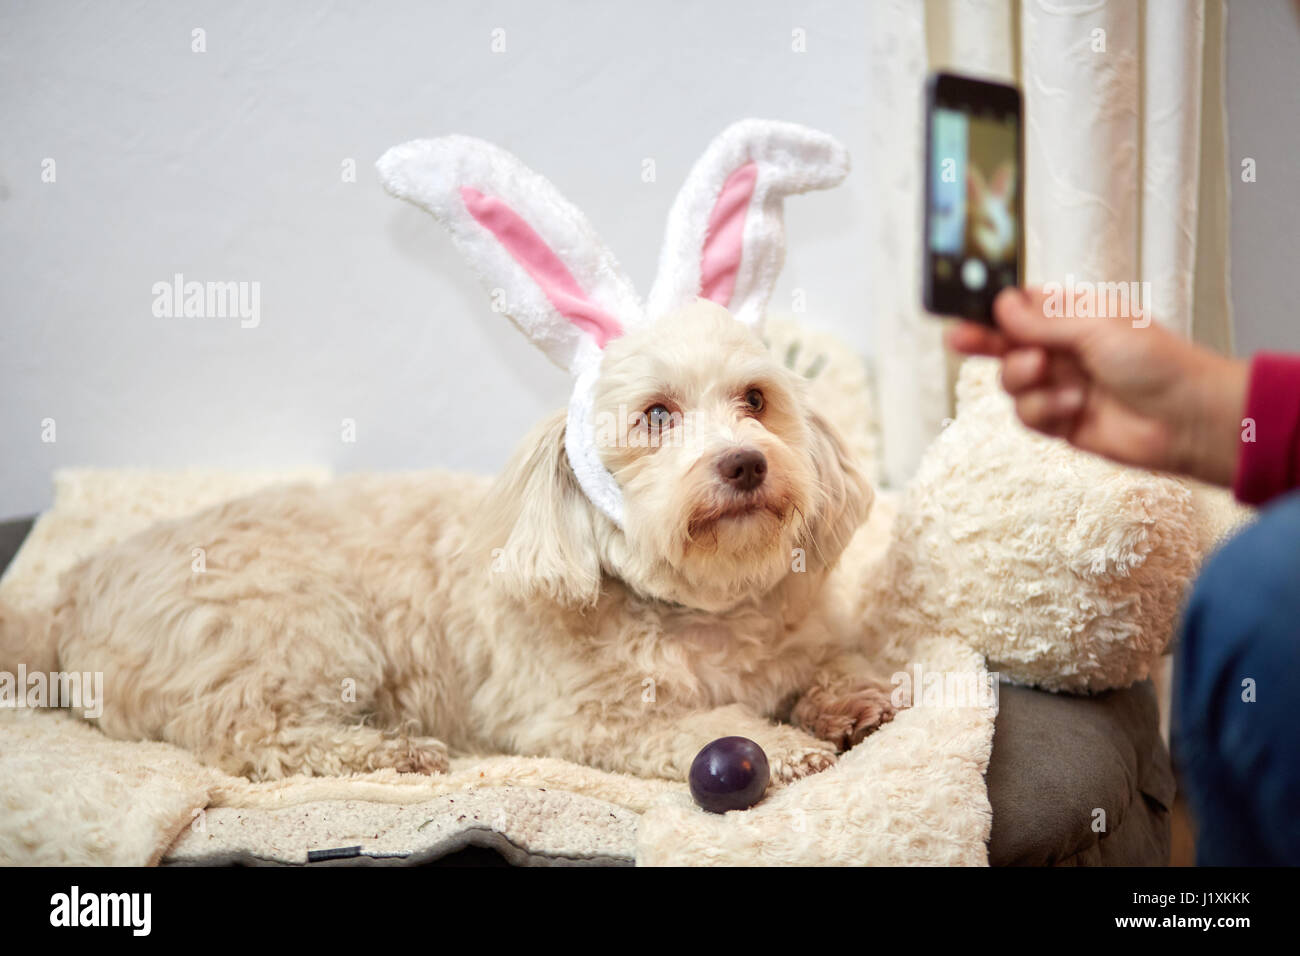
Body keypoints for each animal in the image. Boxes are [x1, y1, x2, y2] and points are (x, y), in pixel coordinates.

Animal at [0, 123, 899, 790]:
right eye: (656, 416)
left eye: (755, 399)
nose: (746, 463)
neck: (696, 609)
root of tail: (69, 596)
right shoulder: (577, 717)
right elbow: (706, 724)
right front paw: (779, 746)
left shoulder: (799, 641)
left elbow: (831, 664)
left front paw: (852, 701)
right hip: (298, 628)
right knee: (253, 734)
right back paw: (388, 751)